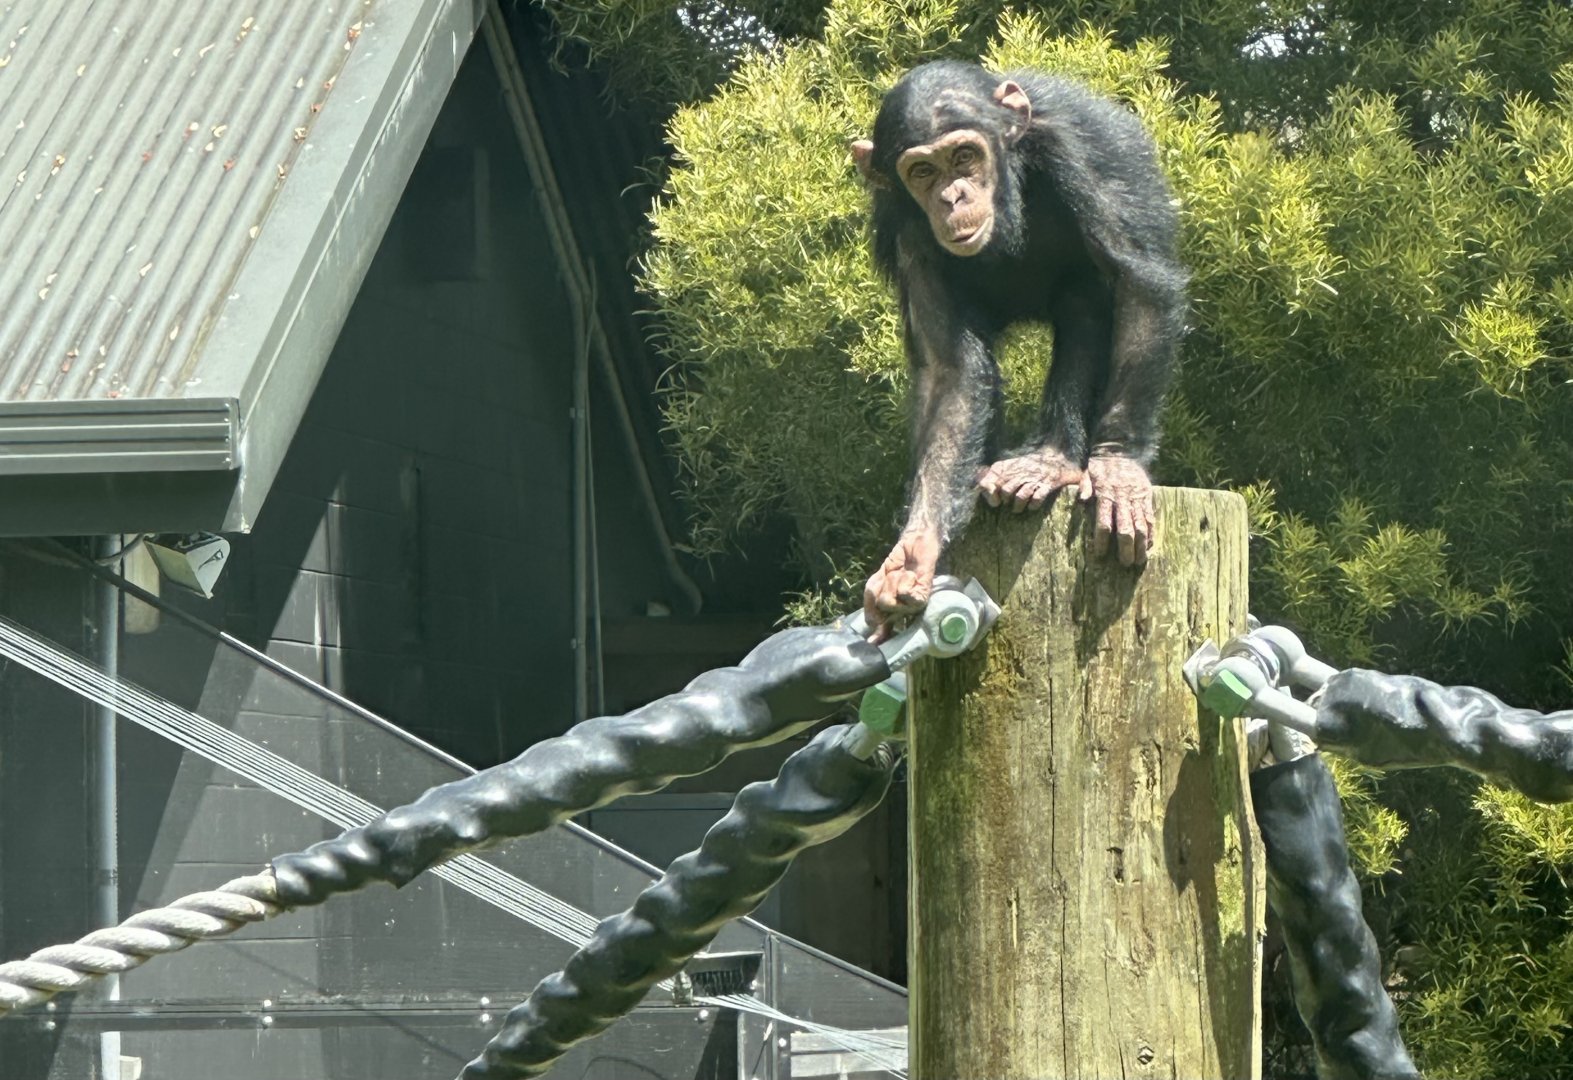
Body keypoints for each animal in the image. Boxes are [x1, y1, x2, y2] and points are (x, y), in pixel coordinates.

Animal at [852, 60, 1187, 634]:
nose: (953, 197)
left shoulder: (1078, 148)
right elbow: (952, 372)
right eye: (923, 172)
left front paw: (1119, 468)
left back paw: (1049, 460)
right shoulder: (906, 234)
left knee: (1084, 300)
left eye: (964, 156)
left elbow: (1136, 281)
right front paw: (914, 550)